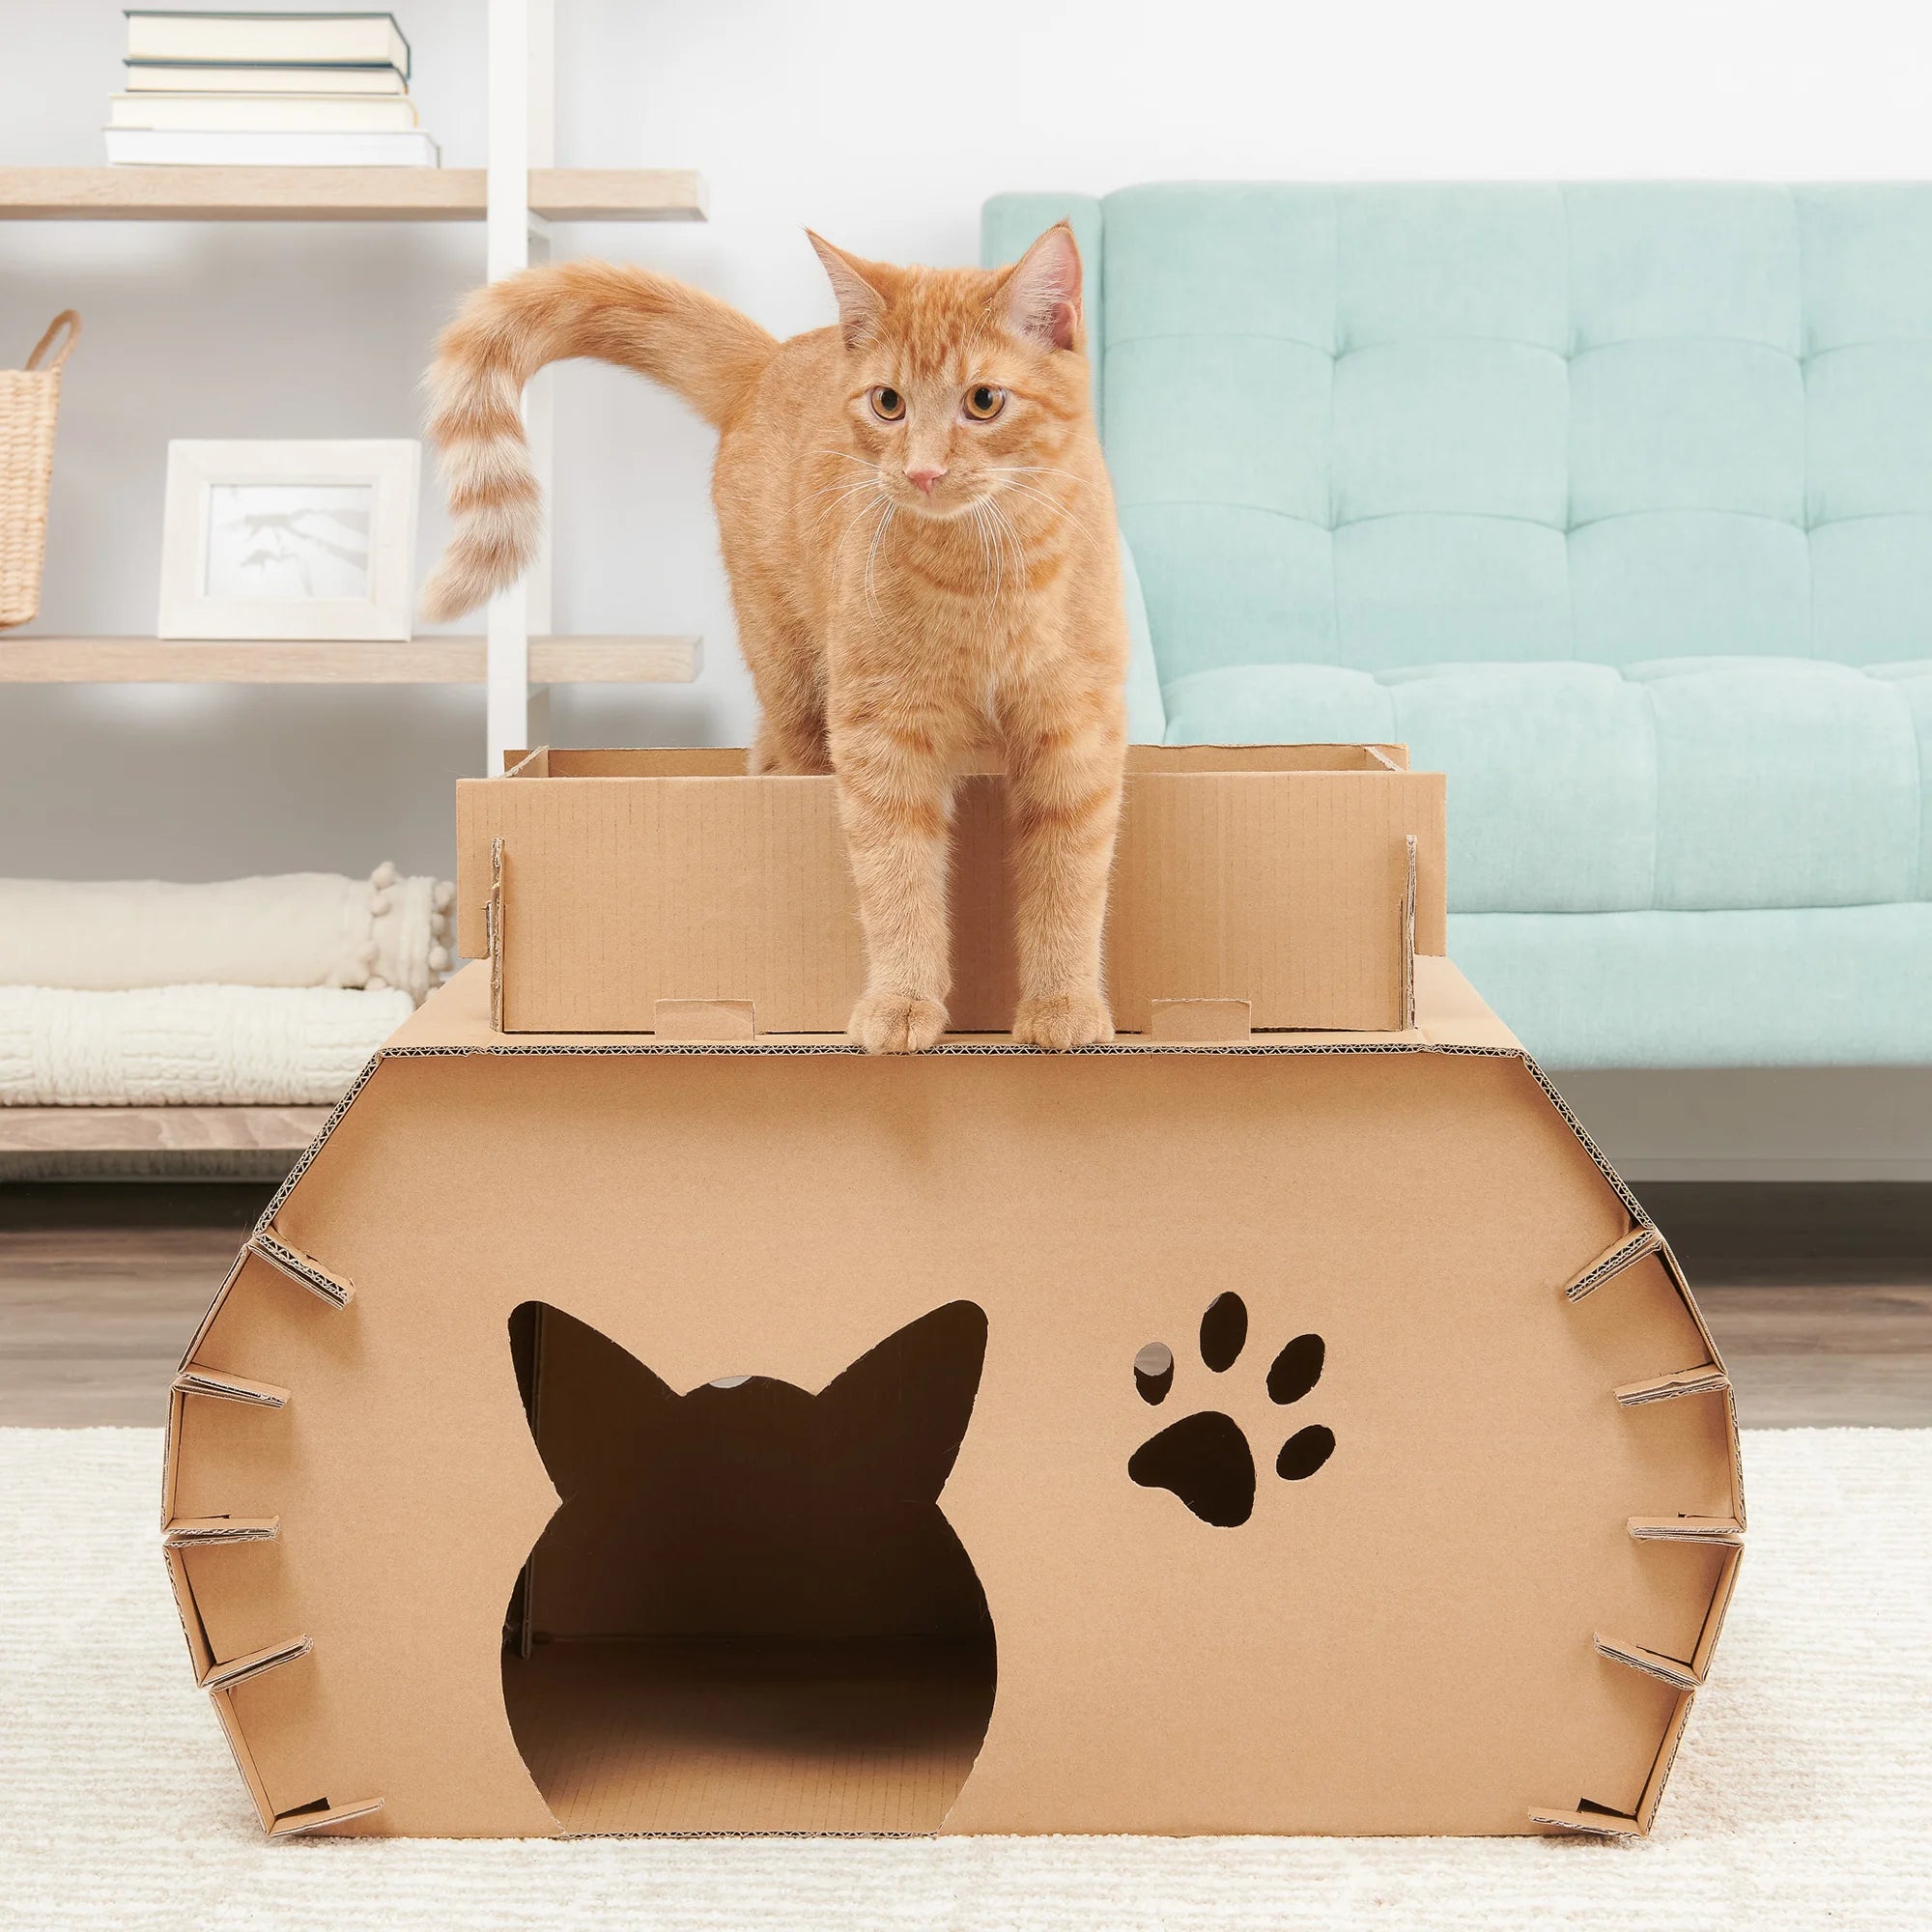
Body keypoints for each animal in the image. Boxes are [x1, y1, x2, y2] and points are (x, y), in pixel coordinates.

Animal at [415, 226, 1128, 1059]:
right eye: (889, 403)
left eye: (983, 402)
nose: (921, 471)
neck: (982, 577)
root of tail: (774, 356)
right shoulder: (879, 739)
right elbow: (896, 879)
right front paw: (902, 1000)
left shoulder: (1076, 735)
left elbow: (1069, 881)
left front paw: (1064, 1003)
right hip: (793, 677)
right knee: (785, 756)